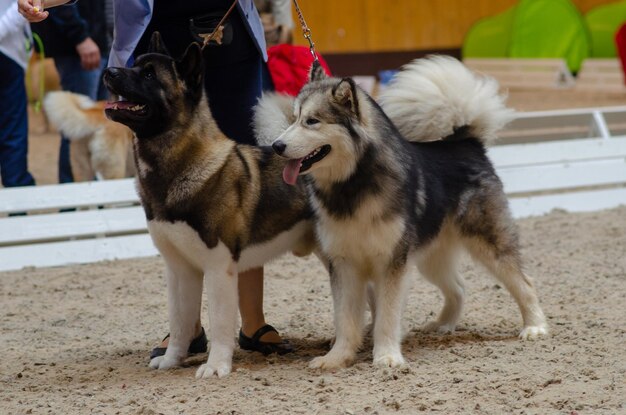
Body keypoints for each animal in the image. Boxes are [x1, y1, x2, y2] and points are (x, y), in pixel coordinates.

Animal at [258, 55, 544, 370]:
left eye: (312, 121)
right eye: (294, 117)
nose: (277, 145)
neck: (353, 185)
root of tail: (465, 143)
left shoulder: (392, 263)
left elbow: (387, 315)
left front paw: (386, 356)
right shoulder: (344, 263)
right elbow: (345, 319)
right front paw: (337, 357)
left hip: (489, 245)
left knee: (525, 283)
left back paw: (534, 327)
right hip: (430, 257)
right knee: (458, 287)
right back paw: (443, 325)